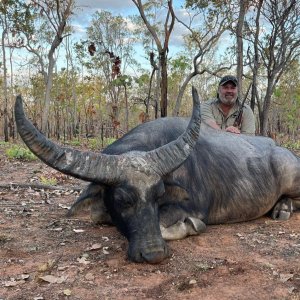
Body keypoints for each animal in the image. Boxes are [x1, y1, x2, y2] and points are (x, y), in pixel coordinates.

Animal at [15, 88, 300, 262]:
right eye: (122, 200)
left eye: (159, 194)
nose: (153, 254)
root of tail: (279, 149)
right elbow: (97, 214)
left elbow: (170, 222)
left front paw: (190, 226)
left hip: (290, 174)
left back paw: (282, 208)